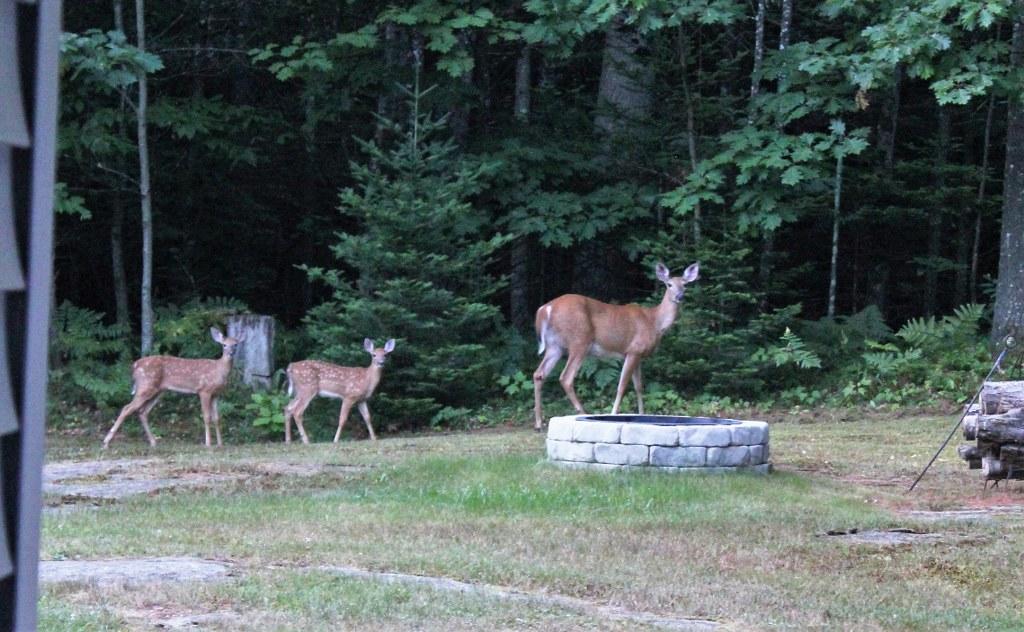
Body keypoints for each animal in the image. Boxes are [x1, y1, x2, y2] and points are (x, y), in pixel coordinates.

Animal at [103, 327, 246, 448]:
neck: (218, 370)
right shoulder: (204, 390)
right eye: (224, 345)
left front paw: (220, 444)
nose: (231, 353)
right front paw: (208, 444)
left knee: (142, 411)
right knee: (127, 408)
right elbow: (206, 416)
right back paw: (106, 442)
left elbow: (217, 418)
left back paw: (153, 442)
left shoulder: (216, 394)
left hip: (157, 391)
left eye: (236, 344)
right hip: (146, 385)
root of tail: (135, 365)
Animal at [532, 261, 700, 430]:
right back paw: (582, 413)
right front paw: (613, 414)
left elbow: (639, 387)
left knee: (539, 374)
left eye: (685, 285)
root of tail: (545, 309)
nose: (680, 296)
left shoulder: (638, 355)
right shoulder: (633, 349)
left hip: (555, 346)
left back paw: (539, 423)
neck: (654, 322)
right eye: (669, 284)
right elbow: (622, 385)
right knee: (565, 378)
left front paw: (642, 414)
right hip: (579, 340)